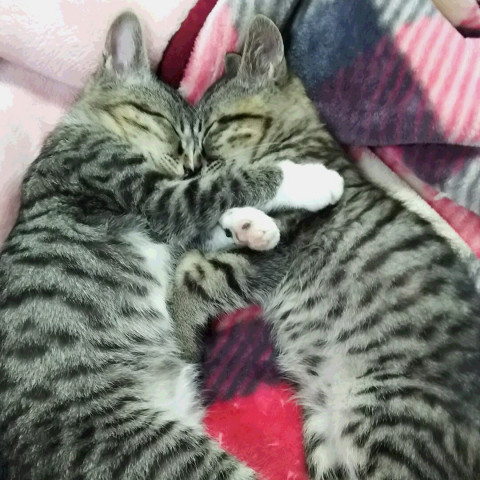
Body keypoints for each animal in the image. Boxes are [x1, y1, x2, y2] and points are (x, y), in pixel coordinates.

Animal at [0, 12, 344, 480]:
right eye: (171, 129)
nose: (190, 165)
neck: (87, 125)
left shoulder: (174, 224)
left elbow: (213, 220)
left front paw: (253, 227)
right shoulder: (153, 195)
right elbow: (226, 185)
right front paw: (311, 179)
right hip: (149, 448)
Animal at [170, 15, 480, 480]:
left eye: (213, 131)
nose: (194, 169)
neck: (300, 138)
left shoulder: (275, 249)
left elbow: (195, 272)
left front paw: (182, 337)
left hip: (392, 422)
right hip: (325, 438)